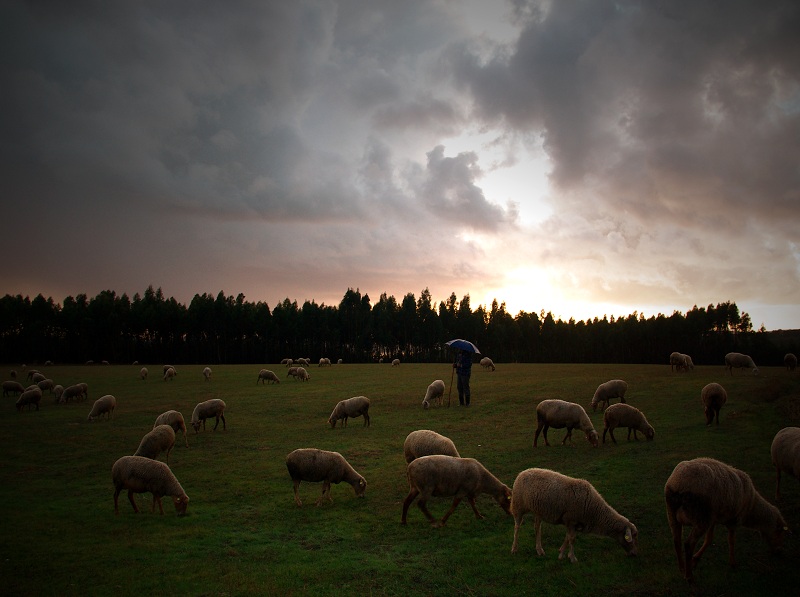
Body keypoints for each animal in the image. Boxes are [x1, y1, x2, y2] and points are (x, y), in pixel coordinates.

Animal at [510, 468, 640, 560]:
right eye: (632, 537)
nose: (635, 553)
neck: (595, 511)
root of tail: (523, 472)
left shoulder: (573, 522)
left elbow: (568, 537)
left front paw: (561, 552)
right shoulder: (571, 520)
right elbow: (572, 539)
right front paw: (572, 557)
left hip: (538, 511)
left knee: (537, 528)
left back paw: (539, 550)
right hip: (518, 505)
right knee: (517, 527)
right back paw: (514, 548)